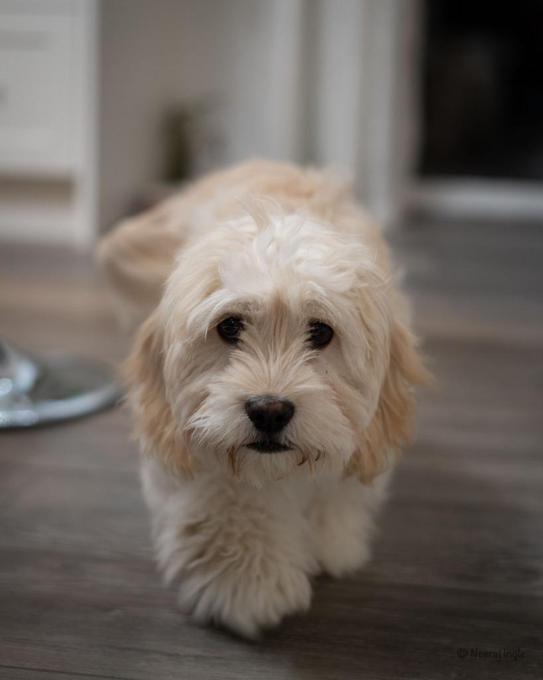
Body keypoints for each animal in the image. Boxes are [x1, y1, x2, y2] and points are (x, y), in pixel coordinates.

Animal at [98, 159, 430, 636]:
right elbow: (228, 496)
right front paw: (246, 581)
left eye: (321, 332)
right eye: (229, 326)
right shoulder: (195, 437)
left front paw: (331, 536)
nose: (269, 412)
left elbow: (338, 489)